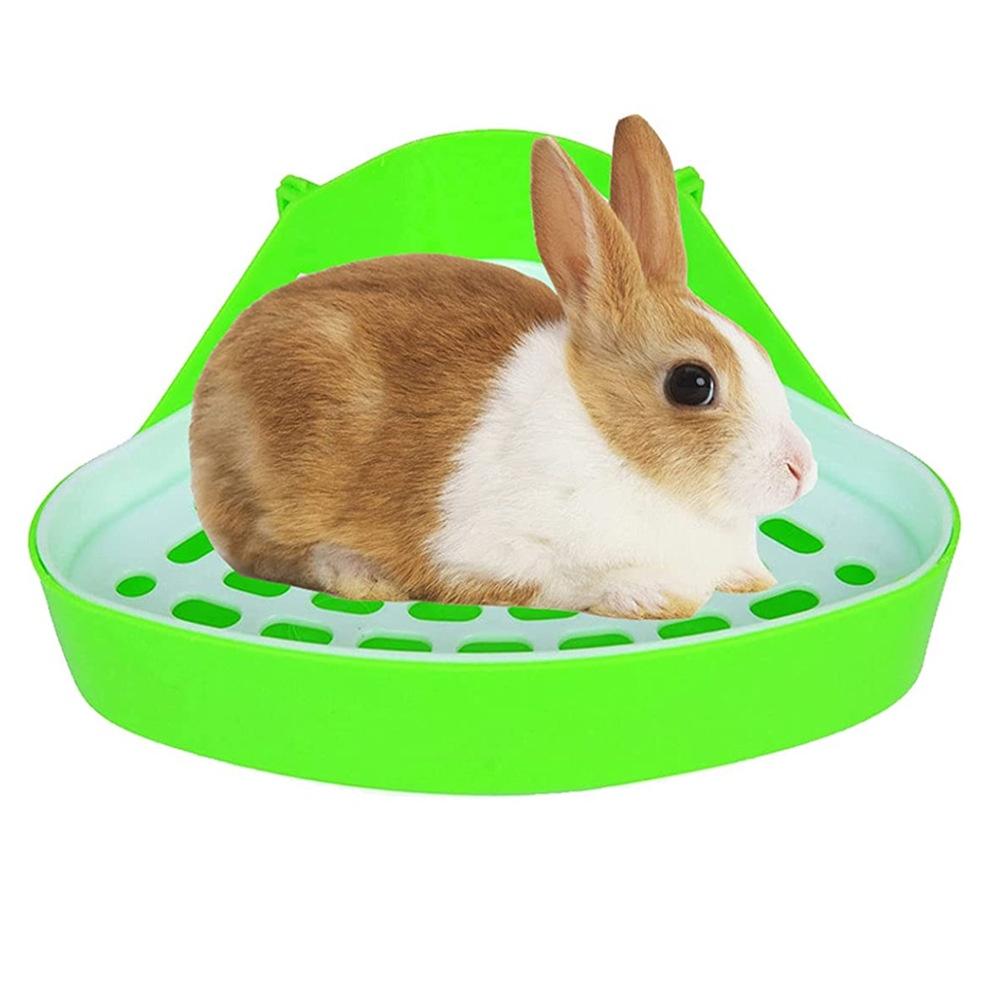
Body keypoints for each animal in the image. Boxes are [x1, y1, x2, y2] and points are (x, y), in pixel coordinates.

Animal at [190, 115, 817, 620]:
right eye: (692, 383)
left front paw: (753, 580)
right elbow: (562, 584)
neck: (606, 439)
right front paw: (653, 599)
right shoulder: (488, 556)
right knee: (267, 554)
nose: (801, 471)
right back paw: (361, 576)